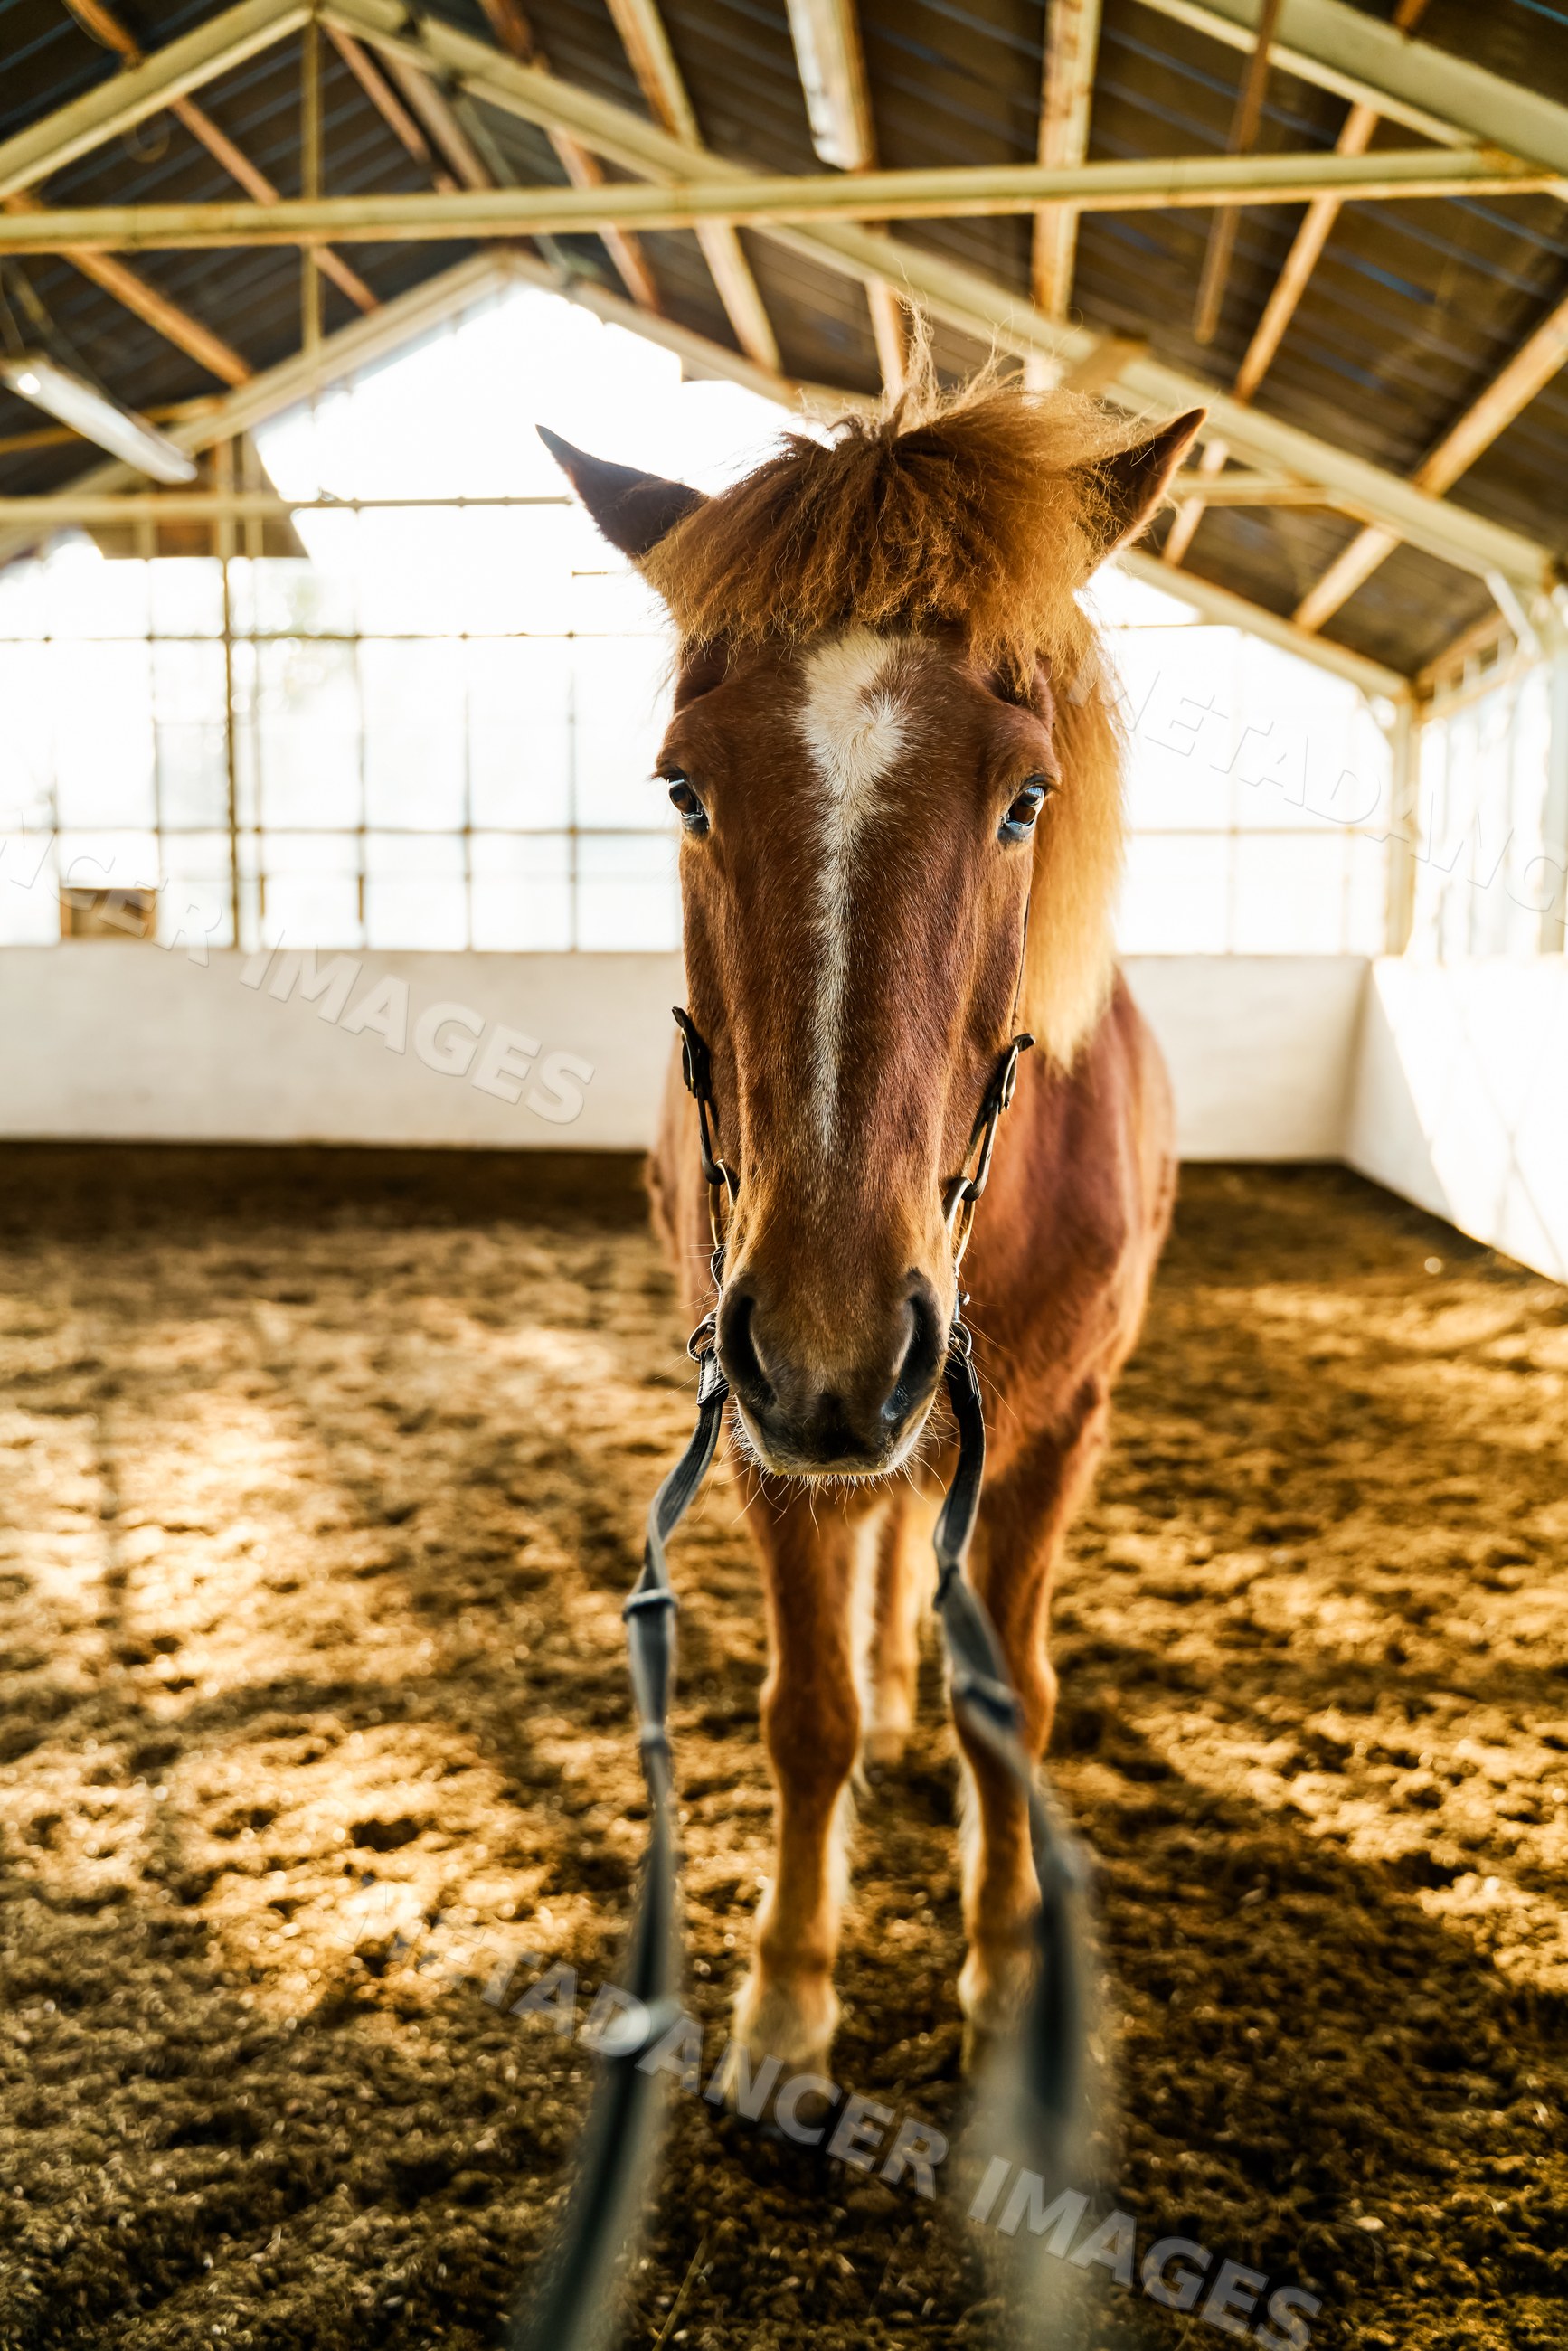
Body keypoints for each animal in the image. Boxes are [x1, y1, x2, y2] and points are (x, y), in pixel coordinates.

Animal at [541, 374, 1201, 2079]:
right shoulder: (763, 1437)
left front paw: (1007, 1959)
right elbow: (808, 1715)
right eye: (683, 788)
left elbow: (1011, 1697)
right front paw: (786, 1997)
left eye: (1025, 797)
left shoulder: (1055, 1434)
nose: (834, 1344)